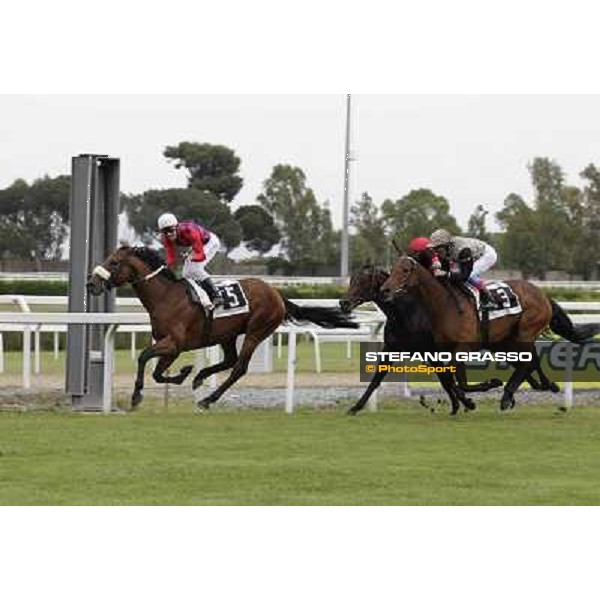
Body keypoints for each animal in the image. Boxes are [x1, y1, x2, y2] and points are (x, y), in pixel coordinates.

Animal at [87, 244, 358, 408]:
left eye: (114, 262)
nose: (91, 283)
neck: (166, 297)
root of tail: (277, 294)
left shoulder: (174, 343)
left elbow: (144, 357)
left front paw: (136, 395)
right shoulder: (171, 346)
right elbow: (156, 371)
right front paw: (185, 373)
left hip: (257, 331)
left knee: (239, 367)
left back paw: (208, 399)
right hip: (227, 334)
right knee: (229, 360)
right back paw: (200, 377)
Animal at [338, 264, 502, 414]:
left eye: (363, 281)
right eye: (351, 280)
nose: (344, 302)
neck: (406, 313)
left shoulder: (431, 351)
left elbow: (446, 378)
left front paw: (466, 402)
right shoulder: (391, 348)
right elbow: (376, 379)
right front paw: (355, 407)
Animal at [382, 255, 596, 410]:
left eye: (405, 270)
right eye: (391, 269)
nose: (385, 289)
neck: (445, 304)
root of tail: (543, 295)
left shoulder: (463, 348)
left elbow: (458, 381)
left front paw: (489, 385)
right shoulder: (444, 350)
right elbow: (452, 380)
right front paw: (469, 400)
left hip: (525, 332)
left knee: (528, 361)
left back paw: (509, 394)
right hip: (505, 341)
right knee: (530, 361)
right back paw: (543, 385)